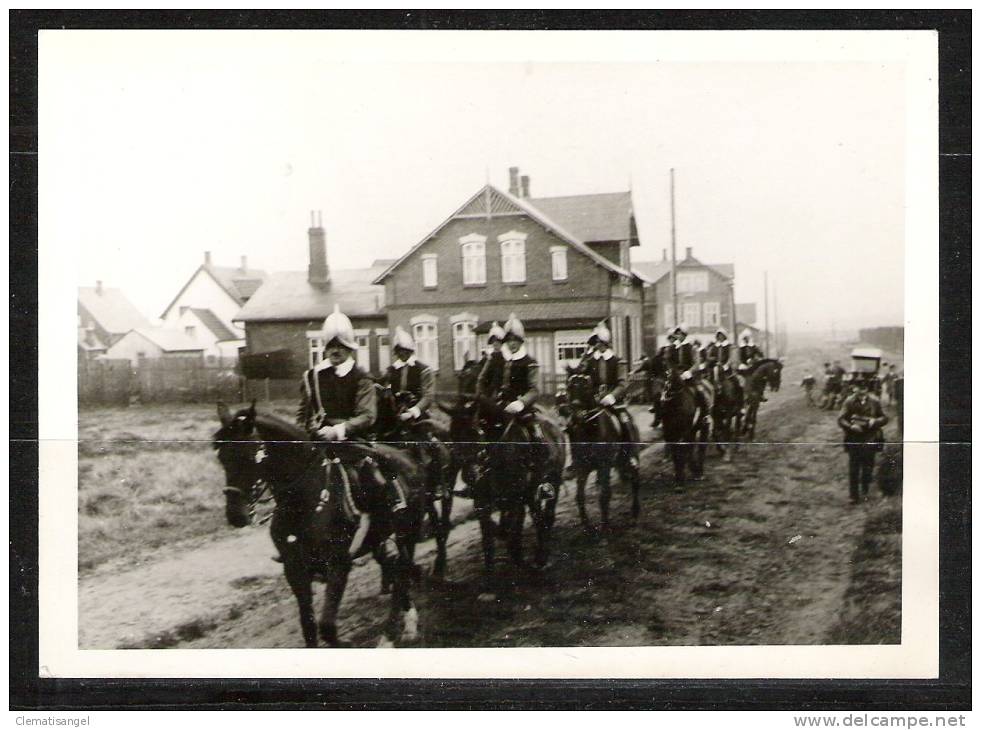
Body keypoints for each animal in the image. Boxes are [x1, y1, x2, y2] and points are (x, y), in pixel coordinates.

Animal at [212, 400, 426, 644]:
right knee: (396, 569)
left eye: (249, 456)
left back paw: (393, 635)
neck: (303, 501)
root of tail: (409, 457)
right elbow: (308, 626)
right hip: (380, 541)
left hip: (406, 535)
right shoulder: (293, 568)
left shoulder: (339, 564)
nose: (235, 516)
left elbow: (327, 627)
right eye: (222, 457)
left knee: (403, 574)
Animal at [560, 372, 644, 528]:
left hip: (631, 459)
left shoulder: (603, 465)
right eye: (569, 389)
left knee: (635, 483)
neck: (590, 430)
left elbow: (604, 494)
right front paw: (586, 525)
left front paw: (605, 525)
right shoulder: (583, 467)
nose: (575, 417)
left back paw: (634, 516)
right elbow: (579, 495)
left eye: (586, 388)